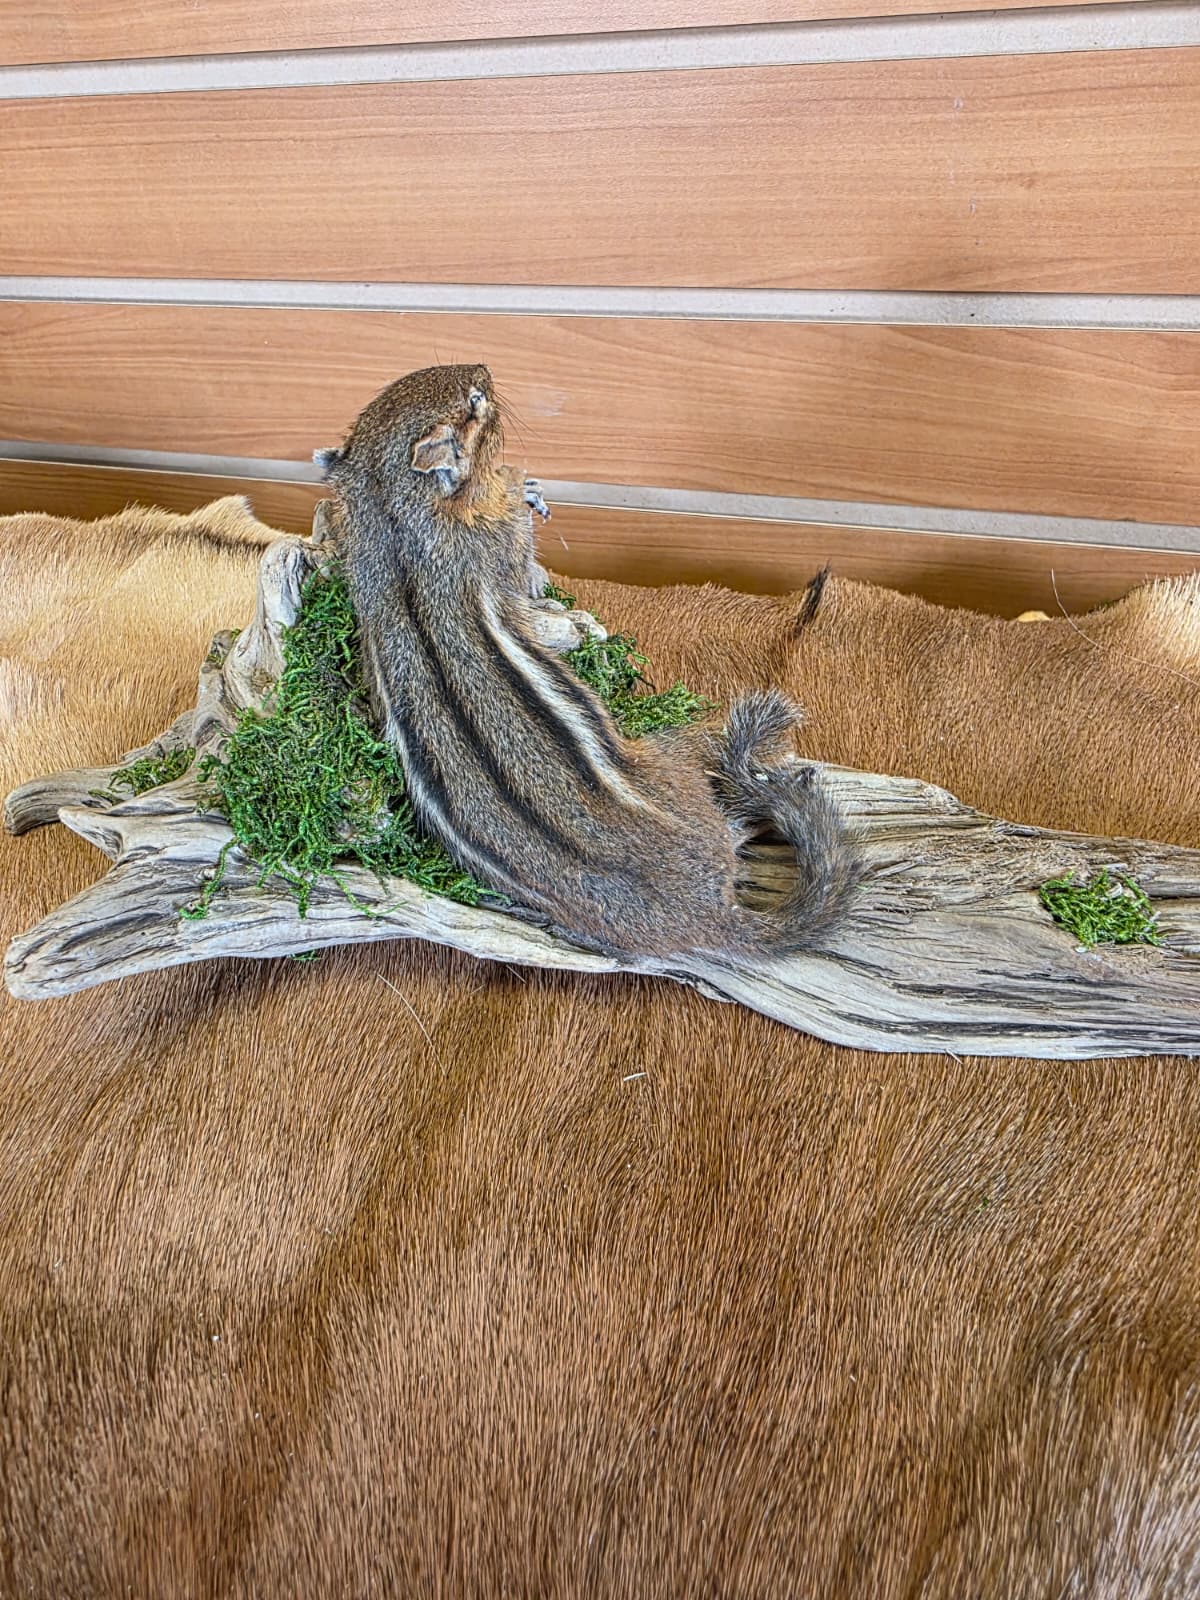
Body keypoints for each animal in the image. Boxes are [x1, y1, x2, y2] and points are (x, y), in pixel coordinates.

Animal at [314, 363, 857, 962]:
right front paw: (523, 486)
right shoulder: (501, 540)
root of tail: (709, 914)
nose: (485, 368)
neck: (393, 524)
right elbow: (522, 559)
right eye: (476, 402)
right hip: (675, 759)